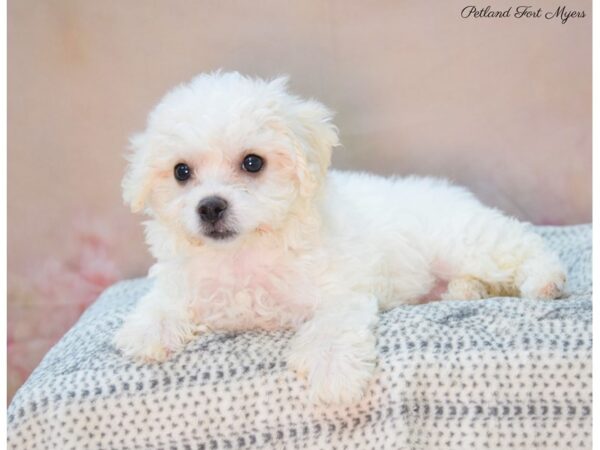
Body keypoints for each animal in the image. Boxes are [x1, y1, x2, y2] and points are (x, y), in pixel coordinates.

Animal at [113, 71, 568, 404]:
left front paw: (333, 372)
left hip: (466, 242)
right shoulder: (187, 279)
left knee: (523, 244)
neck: (246, 251)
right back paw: (464, 291)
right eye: (181, 172)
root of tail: (452, 194)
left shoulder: (339, 289)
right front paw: (149, 328)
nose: (209, 207)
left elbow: (331, 326)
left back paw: (545, 280)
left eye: (252, 162)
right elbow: (165, 296)